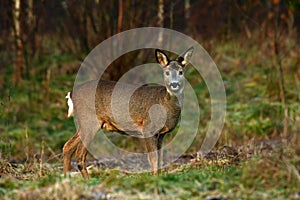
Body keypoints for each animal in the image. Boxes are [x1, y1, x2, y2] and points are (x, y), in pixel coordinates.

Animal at [63, 47, 195, 180]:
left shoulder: (162, 134)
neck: (165, 103)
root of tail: (71, 94)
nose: (174, 84)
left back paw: (66, 178)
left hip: (84, 123)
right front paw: (154, 178)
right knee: (79, 154)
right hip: (89, 121)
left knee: (67, 146)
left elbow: (159, 159)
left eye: (181, 72)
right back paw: (87, 181)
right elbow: (153, 158)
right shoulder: (148, 128)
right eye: (167, 72)